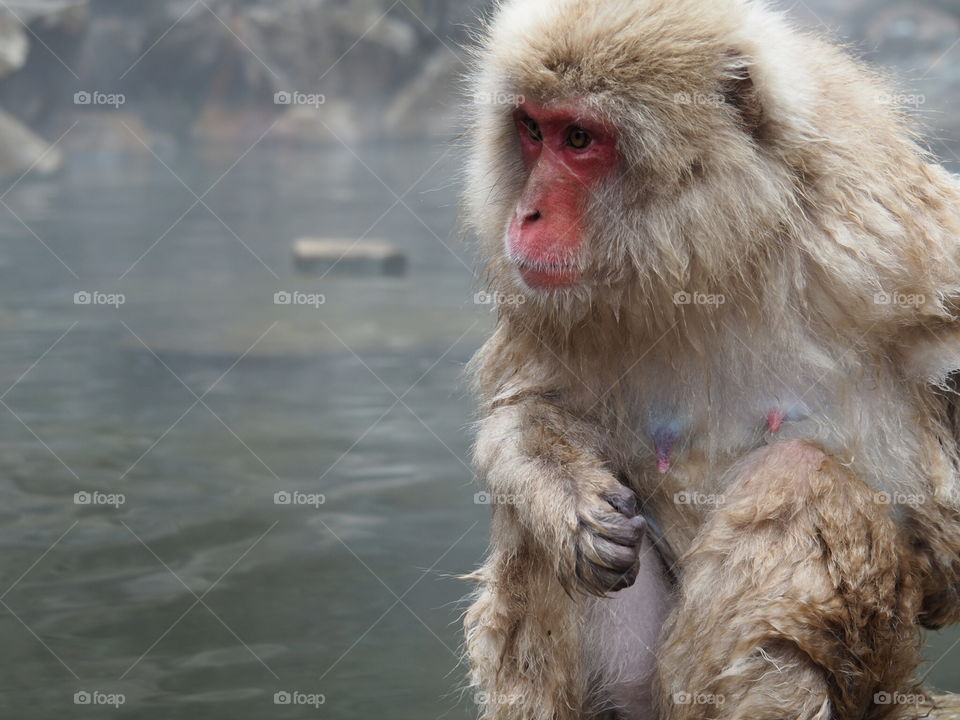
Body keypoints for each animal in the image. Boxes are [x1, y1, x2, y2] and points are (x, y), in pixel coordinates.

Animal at [459, 1, 960, 719]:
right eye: (532, 129)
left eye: (579, 139)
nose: (526, 214)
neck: (720, 252)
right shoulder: (550, 303)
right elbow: (526, 408)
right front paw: (566, 501)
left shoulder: (885, 234)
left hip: (873, 670)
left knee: (797, 478)